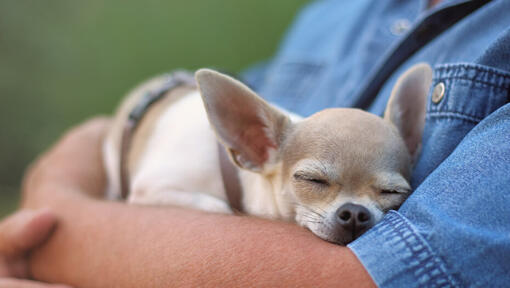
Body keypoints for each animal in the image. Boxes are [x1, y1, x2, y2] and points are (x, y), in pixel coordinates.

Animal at [105, 63, 432, 245]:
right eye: (311, 180)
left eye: (392, 192)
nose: (354, 212)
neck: (234, 172)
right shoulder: (150, 190)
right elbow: (219, 207)